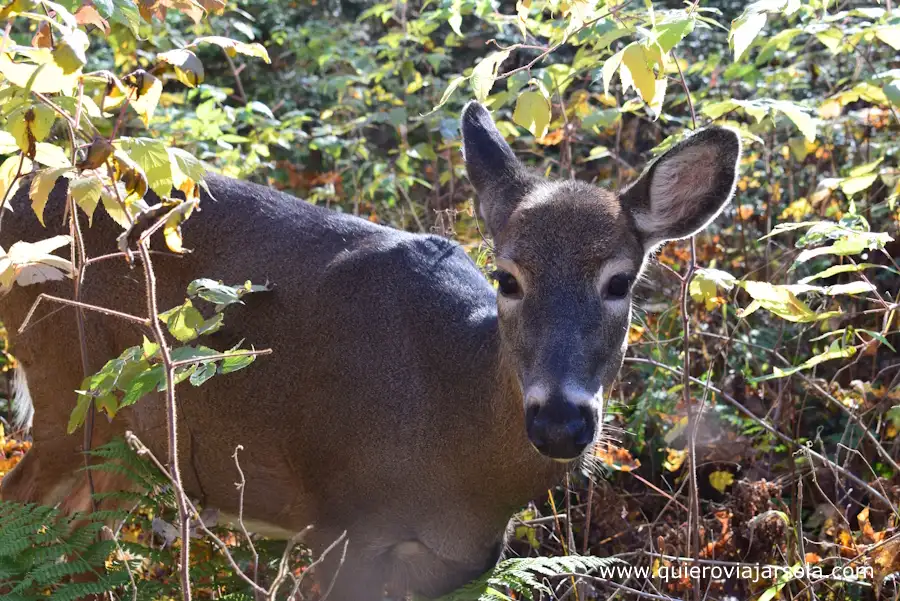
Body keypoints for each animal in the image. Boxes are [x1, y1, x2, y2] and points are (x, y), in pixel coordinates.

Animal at [0, 101, 740, 600]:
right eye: (507, 276)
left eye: (619, 281)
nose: (559, 421)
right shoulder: (339, 525)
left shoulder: (460, 564)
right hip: (66, 386)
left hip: (129, 442)